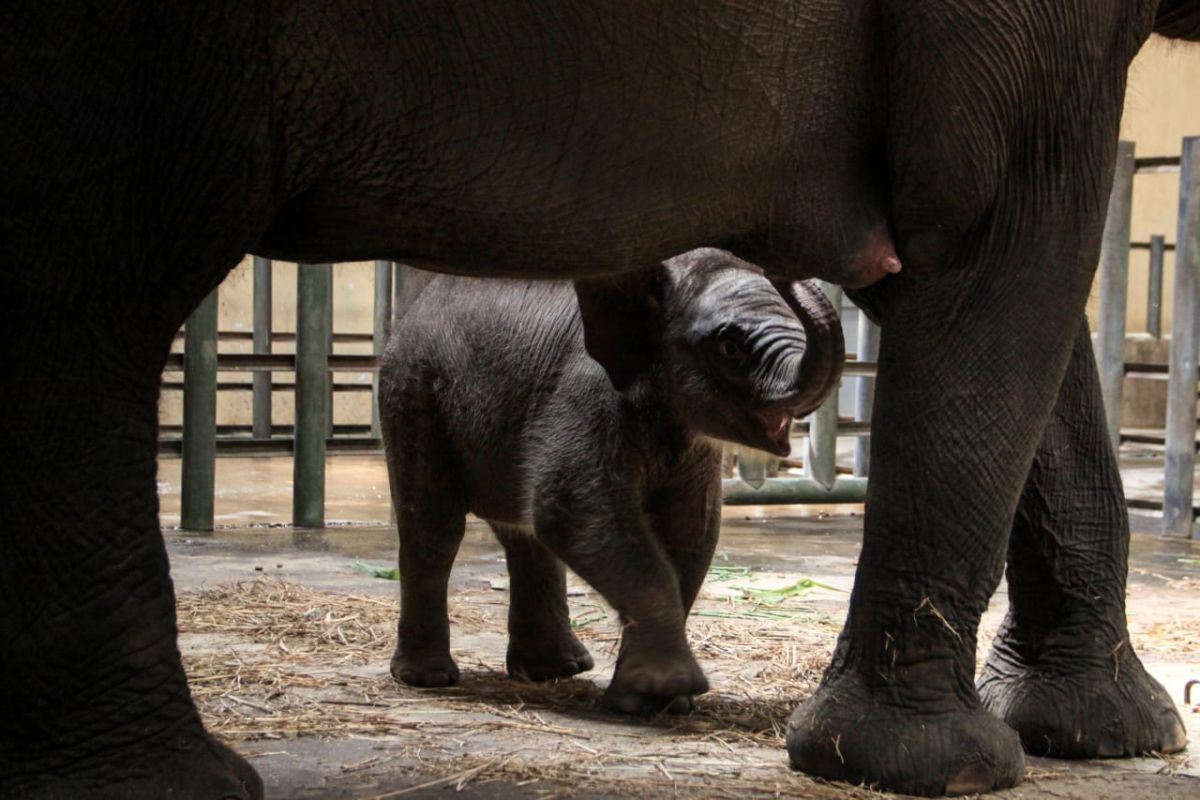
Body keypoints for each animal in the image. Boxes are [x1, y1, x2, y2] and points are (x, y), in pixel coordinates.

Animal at [379, 248, 840, 714]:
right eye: (729, 347)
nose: (785, 269)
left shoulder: (693, 448)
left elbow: (691, 530)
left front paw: (652, 701)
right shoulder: (587, 395)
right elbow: (573, 512)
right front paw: (670, 688)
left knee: (521, 531)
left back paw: (556, 670)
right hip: (412, 395)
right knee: (435, 527)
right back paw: (428, 678)